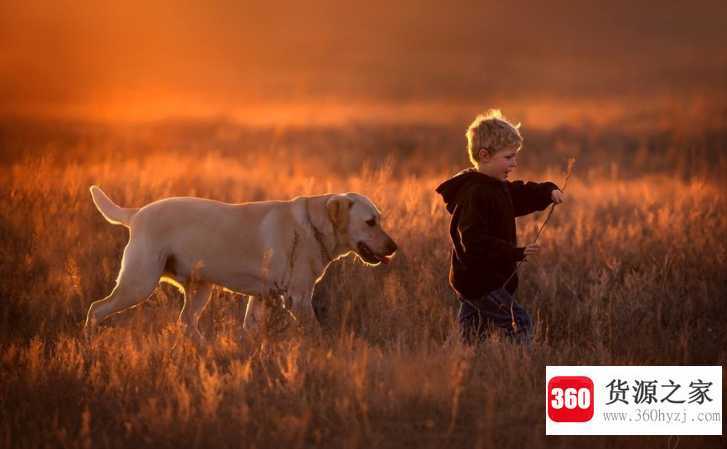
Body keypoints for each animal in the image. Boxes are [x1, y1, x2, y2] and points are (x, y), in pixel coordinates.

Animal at [85, 187, 398, 342]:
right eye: (370, 222)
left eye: (380, 219)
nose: (394, 248)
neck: (313, 226)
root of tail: (136, 213)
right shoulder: (298, 297)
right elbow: (315, 331)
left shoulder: (261, 298)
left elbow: (249, 330)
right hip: (138, 284)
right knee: (96, 309)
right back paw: (89, 342)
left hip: (201, 289)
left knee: (186, 322)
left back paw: (206, 349)